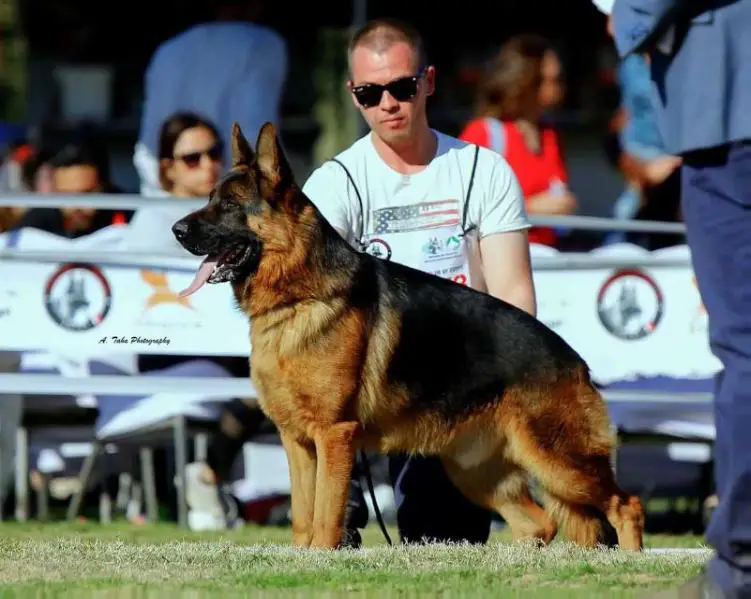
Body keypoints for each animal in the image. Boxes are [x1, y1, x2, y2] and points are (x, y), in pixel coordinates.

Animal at [172, 122, 648, 552]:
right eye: (209, 200)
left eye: (229, 205)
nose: (177, 229)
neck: (299, 297)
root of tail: (575, 360)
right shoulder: (298, 442)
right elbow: (302, 518)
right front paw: (302, 560)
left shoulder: (333, 436)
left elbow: (325, 514)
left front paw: (322, 560)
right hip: (477, 473)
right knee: (542, 524)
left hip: (560, 462)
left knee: (626, 504)